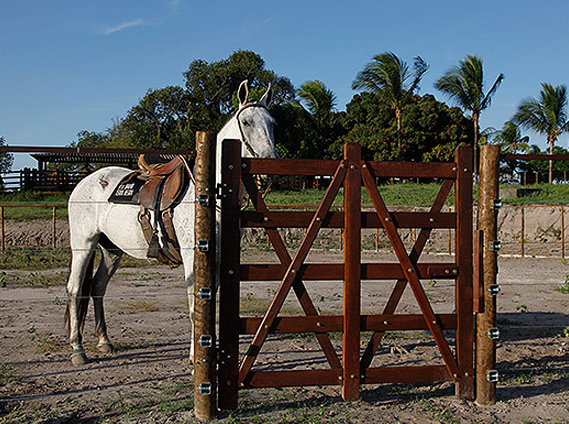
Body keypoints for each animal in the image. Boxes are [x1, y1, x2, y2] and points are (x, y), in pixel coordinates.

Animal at [66, 81, 276, 366]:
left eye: (273, 123)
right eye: (246, 121)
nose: (269, 166)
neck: (209, 194)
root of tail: (83, 182)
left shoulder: (218, 258)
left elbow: (209, 306)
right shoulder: (192, 256)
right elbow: (195, 306)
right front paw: (195, 356)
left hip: (111, 250)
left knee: (97, 286)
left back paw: (104, 341)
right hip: (83, 245)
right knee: (75, 289)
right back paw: (77, 349)